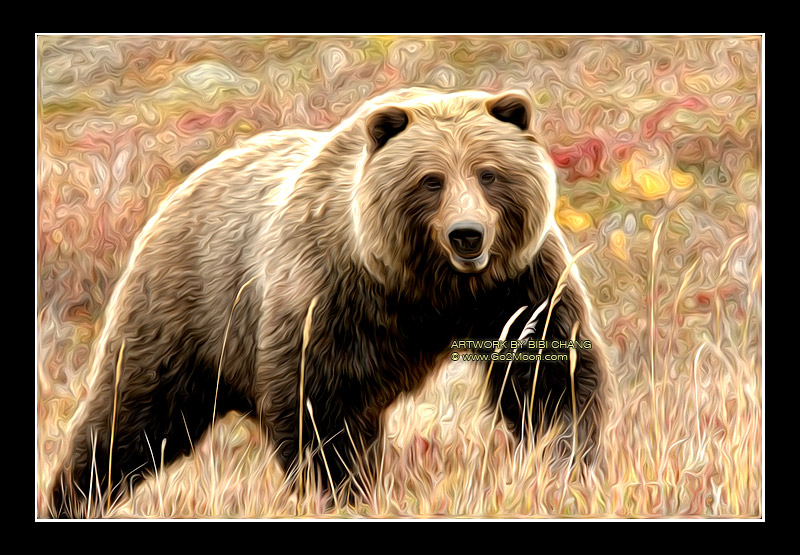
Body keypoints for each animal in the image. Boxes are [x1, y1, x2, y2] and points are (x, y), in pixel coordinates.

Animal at [48, 88, 608, 517]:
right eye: (431, 179)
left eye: (489, 173)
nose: (466, 234)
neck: (432, 288)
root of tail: (183, 186)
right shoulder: (332, 289)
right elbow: (319, 400)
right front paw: (341, 491)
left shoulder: (519, 283)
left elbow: (549, 374)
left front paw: (563, 462)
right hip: (186, 311)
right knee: (133, 418)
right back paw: (73, 497)